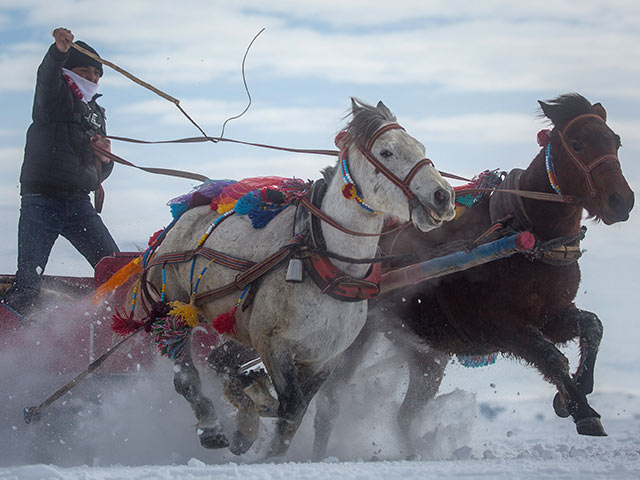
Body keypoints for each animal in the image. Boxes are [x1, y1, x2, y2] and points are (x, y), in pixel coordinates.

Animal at [145, 99, 456, 460]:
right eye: (387, 152)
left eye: (420, 147)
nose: (443, 196)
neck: (327, 264)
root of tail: (183, 216)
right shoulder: (273, 343)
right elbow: (288, 405)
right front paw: (252, 407)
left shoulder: (324, 359)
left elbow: (293, 416)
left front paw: (257, 435)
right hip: (175, 310)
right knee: (186, 374)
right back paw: (211, 428)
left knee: (219, 361)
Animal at [312, 93, 636, 458]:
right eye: (578, 144)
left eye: (615, 141)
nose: (621, 201)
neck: (526, 233)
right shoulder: (504, 327)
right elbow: (552, 358)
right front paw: (583, 411)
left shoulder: (551, 314)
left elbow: (593, 326)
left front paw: (573, 394)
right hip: (359, 336)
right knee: (329, 400)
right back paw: (317, 454)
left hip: (426, 355)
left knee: (405, 414)